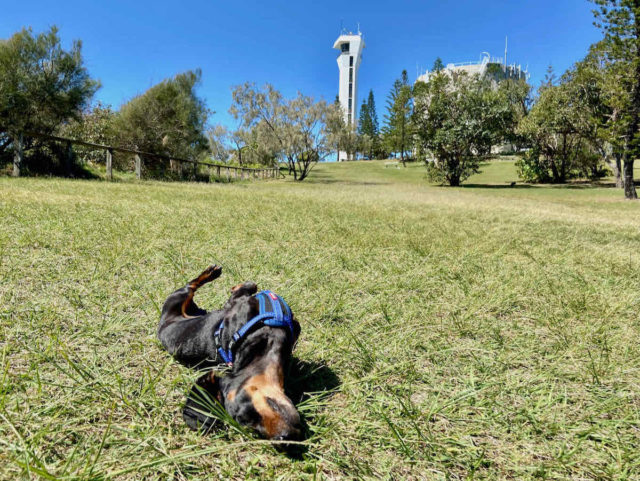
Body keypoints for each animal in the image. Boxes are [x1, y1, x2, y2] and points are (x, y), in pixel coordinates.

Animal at [157, 266, 302, 442]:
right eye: (251, 424)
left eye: (251, 410)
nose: (284, 440)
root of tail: (163, 323)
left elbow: (246, 289)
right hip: (176, 299)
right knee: (190, 286)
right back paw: (210, 273)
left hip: (185, 303)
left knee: (190, 287)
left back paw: (211, 273)